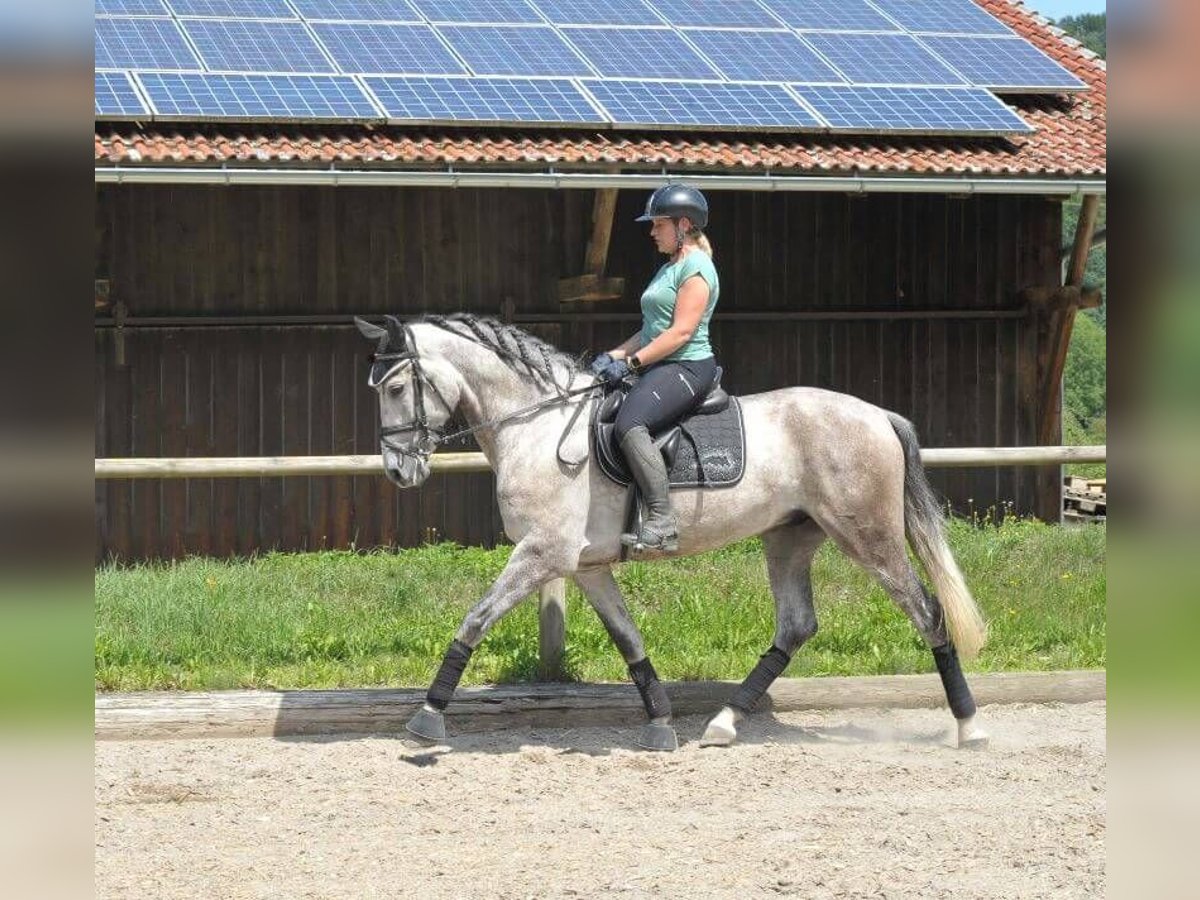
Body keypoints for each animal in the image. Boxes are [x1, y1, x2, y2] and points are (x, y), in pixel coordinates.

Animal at [357, 316, 993, 753]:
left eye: (395, 388)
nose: (398, 472)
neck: (534, 424)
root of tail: (878, 415)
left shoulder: (541, 554)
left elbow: (474, 619)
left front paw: (426, 717)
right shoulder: (586, 566)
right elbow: (629, 640)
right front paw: (661, 723)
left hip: (868, 536)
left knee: (927, 613)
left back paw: (969, 725)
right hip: (789, 539)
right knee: (796, 626)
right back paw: (722, 723)